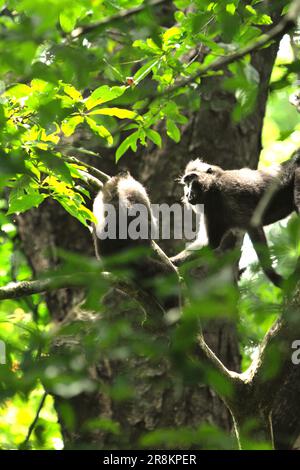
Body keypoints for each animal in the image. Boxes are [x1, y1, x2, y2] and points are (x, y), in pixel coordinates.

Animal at [180, 154, 300, 286]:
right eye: (186, 184)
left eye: (192, 179)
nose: (187, 194)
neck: (214, 192)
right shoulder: (210, 213)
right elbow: (210, 244)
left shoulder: (230, 191)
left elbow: (253, 226)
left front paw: (273, 275)